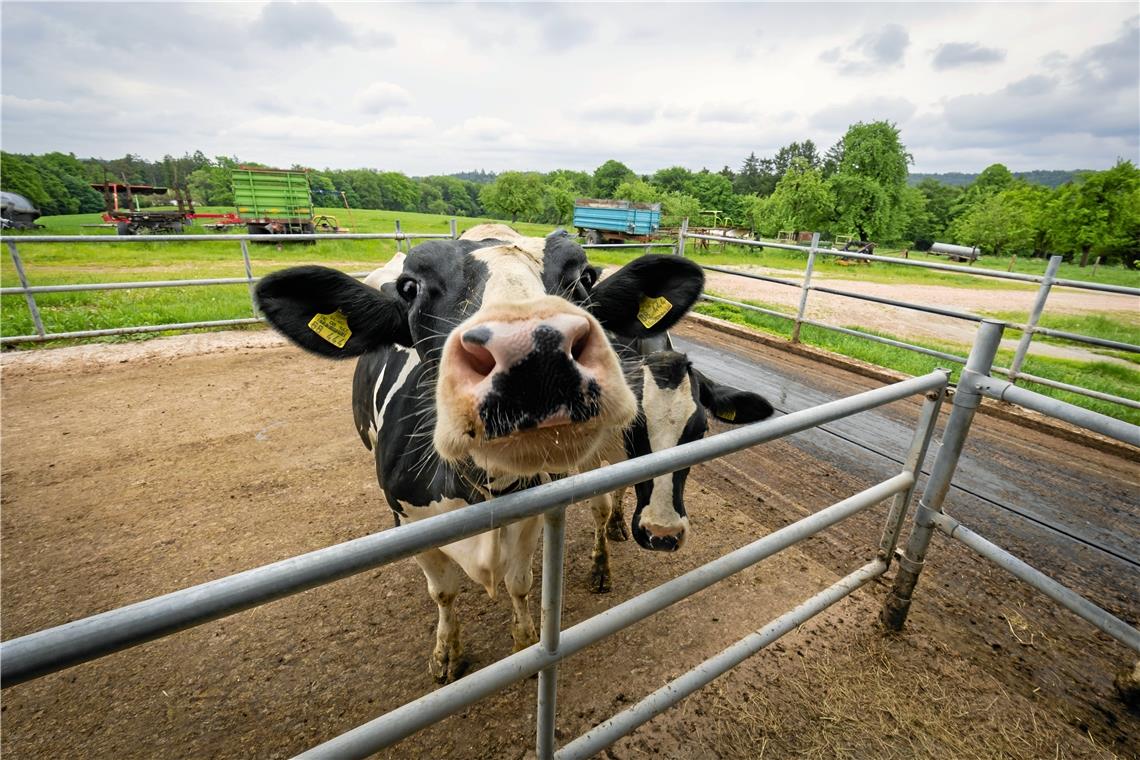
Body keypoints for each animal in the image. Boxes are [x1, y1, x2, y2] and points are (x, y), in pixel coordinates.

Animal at [257, 225, 770, 683]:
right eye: (411, 287)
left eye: (585, 277)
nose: (535, 351)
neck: (481, 488)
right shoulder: (406, 519)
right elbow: (443, 593)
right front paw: (447, 654)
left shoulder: (538, 505)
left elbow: (521, 580)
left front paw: (525, 644)